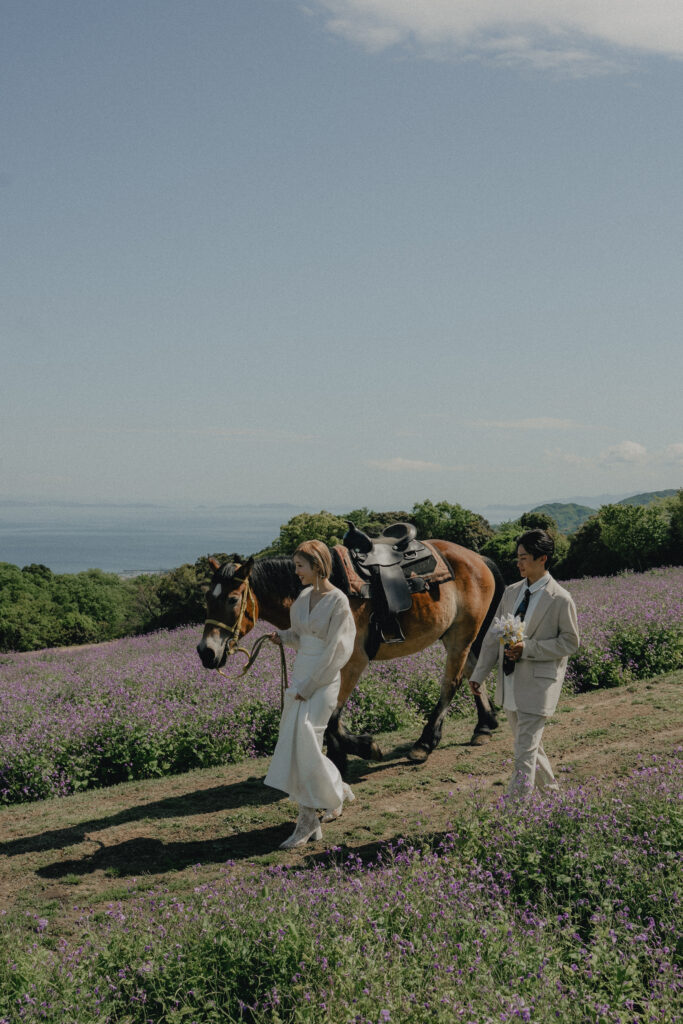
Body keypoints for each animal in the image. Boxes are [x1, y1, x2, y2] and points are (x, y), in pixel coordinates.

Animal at [196, 542, 504, 773]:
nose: (206, 652)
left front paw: (364, 748)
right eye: (207, 599)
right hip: (455, 634)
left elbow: (333, 715)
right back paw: (484, 726)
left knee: (451, 682)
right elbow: (329, 716)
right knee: (472, 672)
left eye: (233, 600)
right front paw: (337, 759)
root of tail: (476, 558)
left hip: (461, 635)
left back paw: (424, 744)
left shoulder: (352, 662)